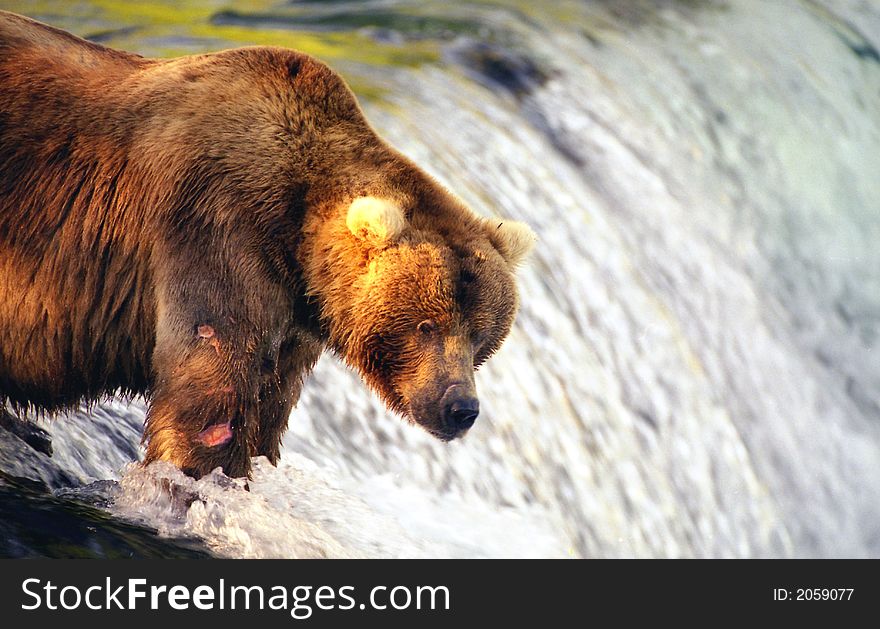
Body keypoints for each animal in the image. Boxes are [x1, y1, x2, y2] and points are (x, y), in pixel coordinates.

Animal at [0, 11, 536, 476]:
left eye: (481, 338)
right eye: (426, 325)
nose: (460, 406)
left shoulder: (293, 316)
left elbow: (270, 401)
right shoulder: (213, 228)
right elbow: (210, 390)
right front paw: (202, 481)